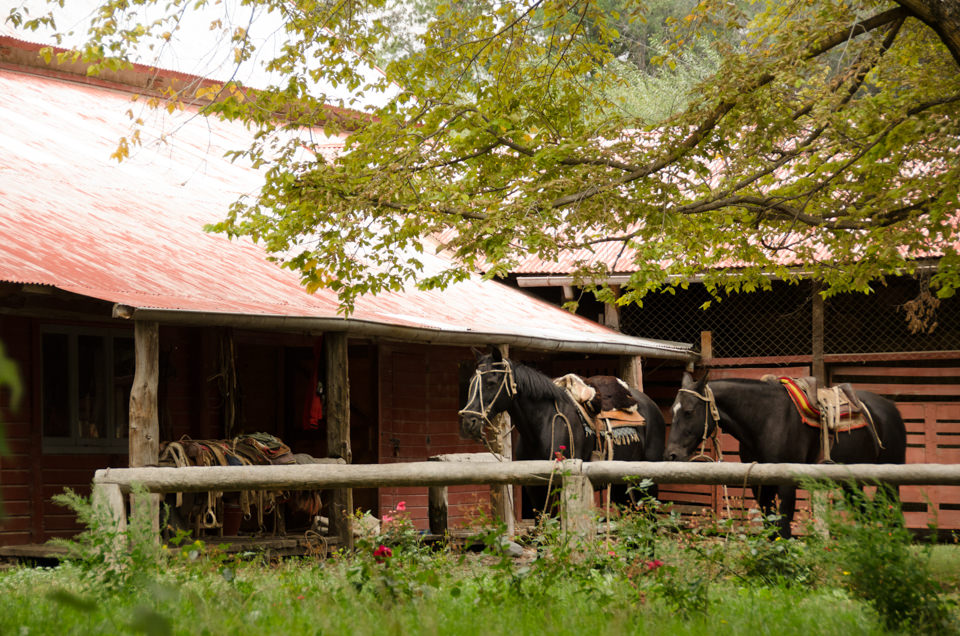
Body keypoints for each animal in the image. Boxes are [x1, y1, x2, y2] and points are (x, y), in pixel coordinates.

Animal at [460, 346, 668, 516]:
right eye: (470, 381)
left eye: (491, 382)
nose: (468, 422)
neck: (540, 426)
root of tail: (650, 405)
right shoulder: (534, 488)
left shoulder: (558, 485)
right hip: (620, 482)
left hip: (648, 481)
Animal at [664, 370, 904, 540]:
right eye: (673, 410)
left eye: (689, 412)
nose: (672, 455)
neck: (765, 418)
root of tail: (890, 408)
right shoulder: (759, 485)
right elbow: (770, 528)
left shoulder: (787, 483)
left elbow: (784, 529)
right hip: (853, 482)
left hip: (890, 480)